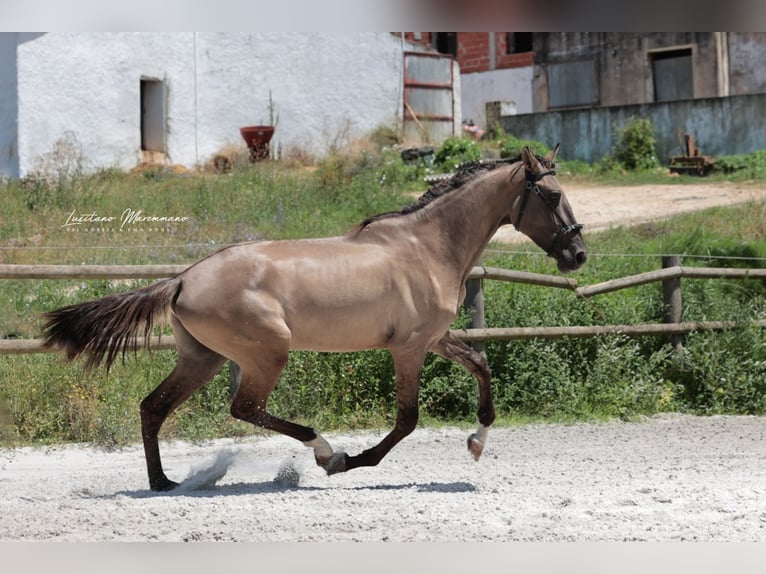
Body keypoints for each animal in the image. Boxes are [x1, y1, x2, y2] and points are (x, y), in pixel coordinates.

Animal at [42, 145, 586, 491]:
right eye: (553, 196)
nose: (578, 255)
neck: (428, 248)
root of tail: (181, 279)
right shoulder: (408, 348)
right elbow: (407, 419)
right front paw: (350, 463)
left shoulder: (434, 338)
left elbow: (481, 365)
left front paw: (476, 443)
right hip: (267, 353)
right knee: (245, 408)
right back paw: (324, 451)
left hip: (203, 358)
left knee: (153, 407)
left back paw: (164, 483)